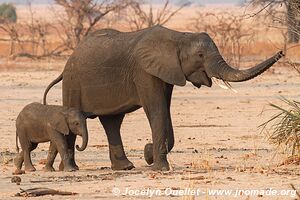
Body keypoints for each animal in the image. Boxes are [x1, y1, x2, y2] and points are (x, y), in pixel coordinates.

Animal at [42, 25, 284, 171]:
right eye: (200, 56)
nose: (281, 52)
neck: (179, 36)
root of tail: (67, 63)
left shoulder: (167, 72)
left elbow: (165, 111)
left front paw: (149, 155)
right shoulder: (145, 71)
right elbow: (156, 109)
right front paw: (159, 166)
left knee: (112, 121)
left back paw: (125, 167)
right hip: (73, 83)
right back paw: (68, 169)